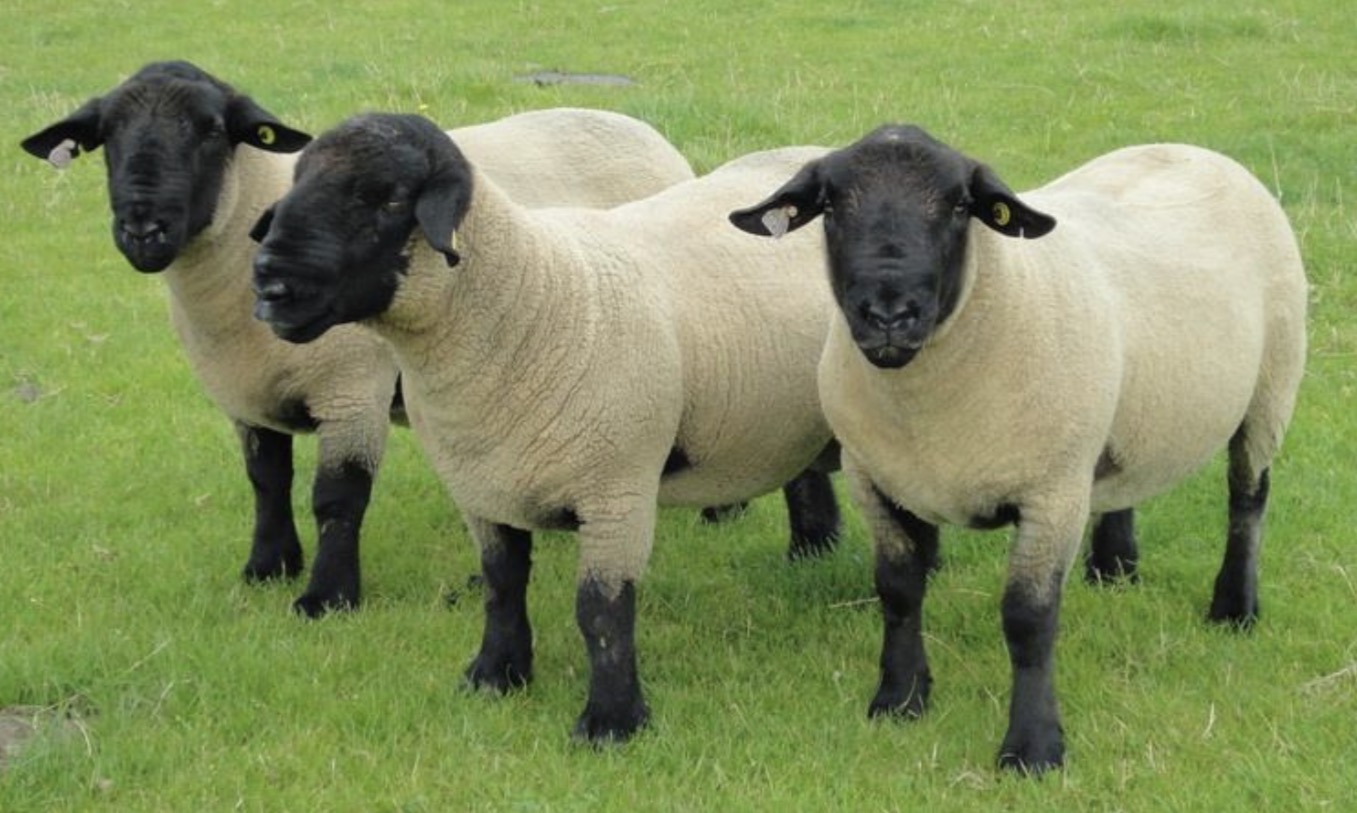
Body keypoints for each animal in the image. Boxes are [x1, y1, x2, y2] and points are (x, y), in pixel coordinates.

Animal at [19, 60, 725, 617]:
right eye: (105, 138)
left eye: (212, 130)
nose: (143, 230)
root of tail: (640, 128)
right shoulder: (245, 394)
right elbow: (265, 481)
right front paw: (267, 568)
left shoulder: (351, 391)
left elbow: (336, 497)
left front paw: (326, 597)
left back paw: (720, 511)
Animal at [247, 112, 842, 741]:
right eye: (299, 178)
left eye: (386, 199)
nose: (270, 286)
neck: (531, 299)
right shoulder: (482, 488)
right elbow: (502, 585)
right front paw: (495, 676)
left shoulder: (616, 493)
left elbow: (601, 611)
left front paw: (611, 722)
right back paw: (812, 551)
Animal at [730, 124, 1307, 773]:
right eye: (829, 206)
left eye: (960, 206)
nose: (888, 314)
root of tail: (1190, 148)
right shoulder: (874, 478)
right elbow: (898, 590)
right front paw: (899, 698)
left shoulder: (1051, 492)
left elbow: (1028, 619)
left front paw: (1033, 748)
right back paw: (1114, 568)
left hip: (1272, 387)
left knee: (1247, 499)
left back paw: (1234, 608)